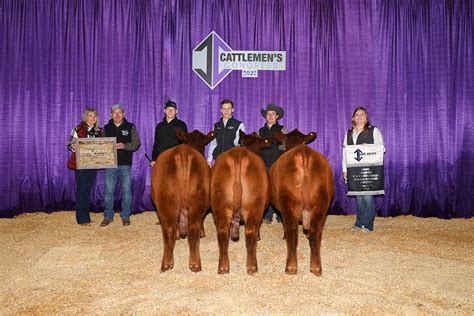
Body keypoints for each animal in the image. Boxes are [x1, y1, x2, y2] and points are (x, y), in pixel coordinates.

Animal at [152, 128, 215, 272]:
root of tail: (183, 150)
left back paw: (169, 263)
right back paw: (193, 264)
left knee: (170, 229)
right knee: (191, 229)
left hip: (167, 201)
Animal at [210, 131, 272, 274]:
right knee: (250, 231)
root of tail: (238, 153)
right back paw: (252, 266)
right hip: (254, 206)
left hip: (220, 206)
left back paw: (223, 267)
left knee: (223, 232)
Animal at [270, 130, 334, 276]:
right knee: (316, 231)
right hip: (321, 203)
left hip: (287, 202)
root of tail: (303, 150)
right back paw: (316, 267)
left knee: (292, 230)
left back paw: (291, 267)